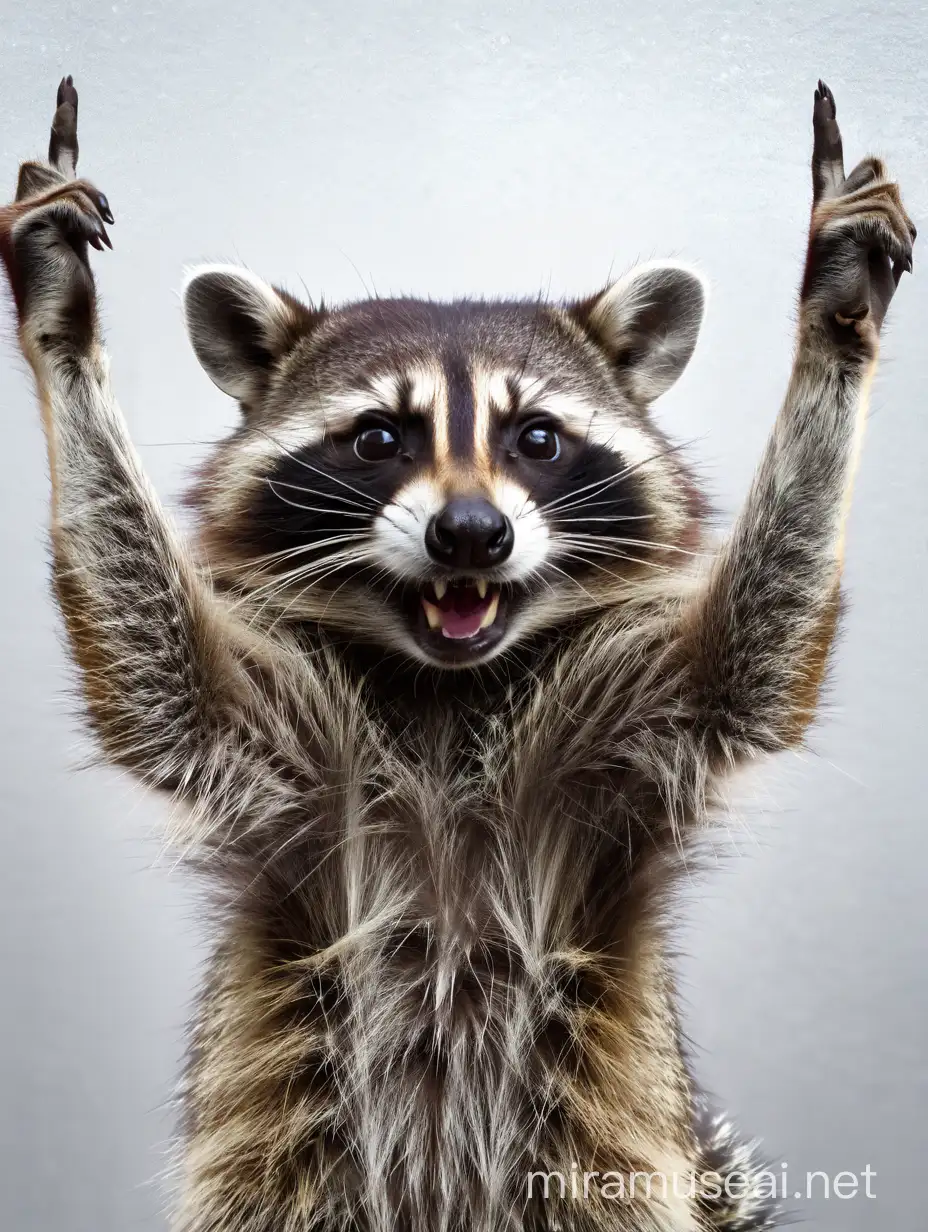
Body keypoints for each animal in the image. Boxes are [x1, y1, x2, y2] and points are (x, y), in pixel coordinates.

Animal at [0, 79, 911, 1232]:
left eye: (538, 438)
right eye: (380, 437)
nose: (471, 534)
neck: (445, 690)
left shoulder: (615, 729)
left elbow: (746, 660)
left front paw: (837, 321)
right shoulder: (289, 750)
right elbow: (158, 673)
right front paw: (62, 322)